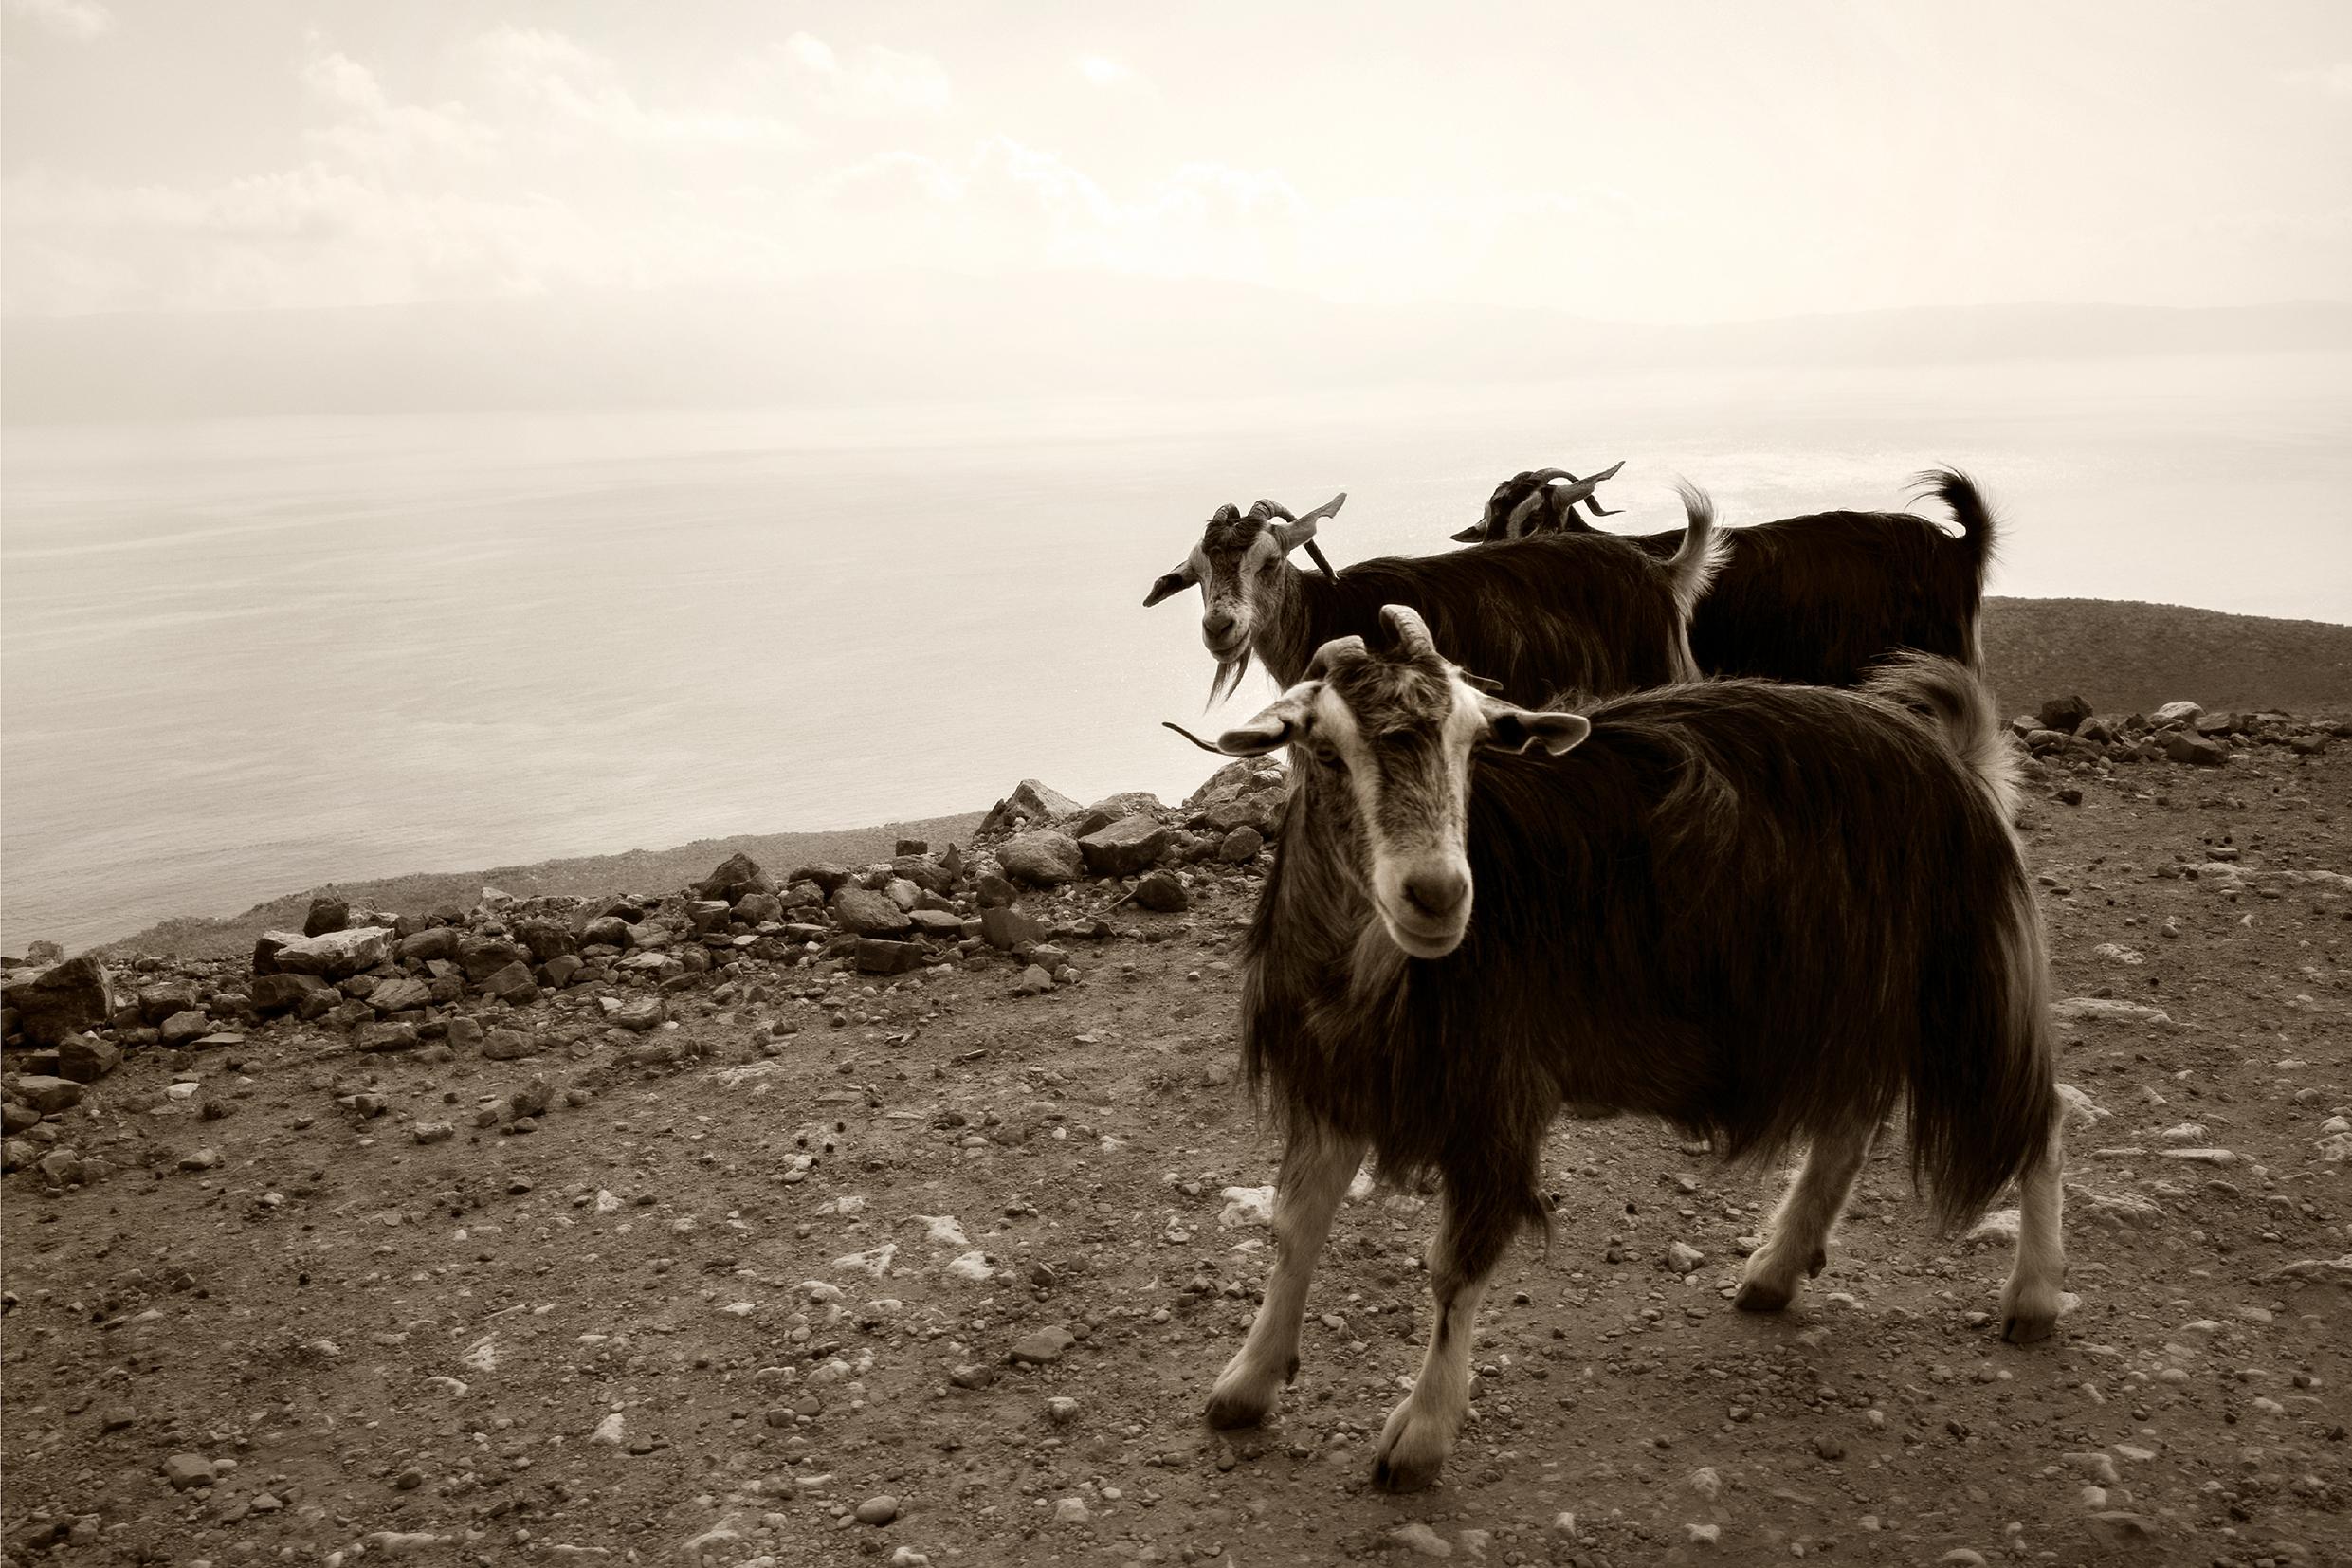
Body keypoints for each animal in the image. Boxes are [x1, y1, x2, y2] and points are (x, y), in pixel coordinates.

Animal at [1176, 606, 2060, 1495]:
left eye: (1475, 744)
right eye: (1324, 748)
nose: (1438, 894)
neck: (1362, 970)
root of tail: (1959, 766)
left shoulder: (1496, 1096)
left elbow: (1454, 1264)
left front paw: (1418, 1437)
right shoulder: (1333, 1076)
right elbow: (1296, 1226)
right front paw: (1245, 1383)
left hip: (1966, 985)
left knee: (2037, 1118)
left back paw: (2031, 1298)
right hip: (1839, 1004)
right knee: (1851, 1121)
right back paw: (1775, 1270)